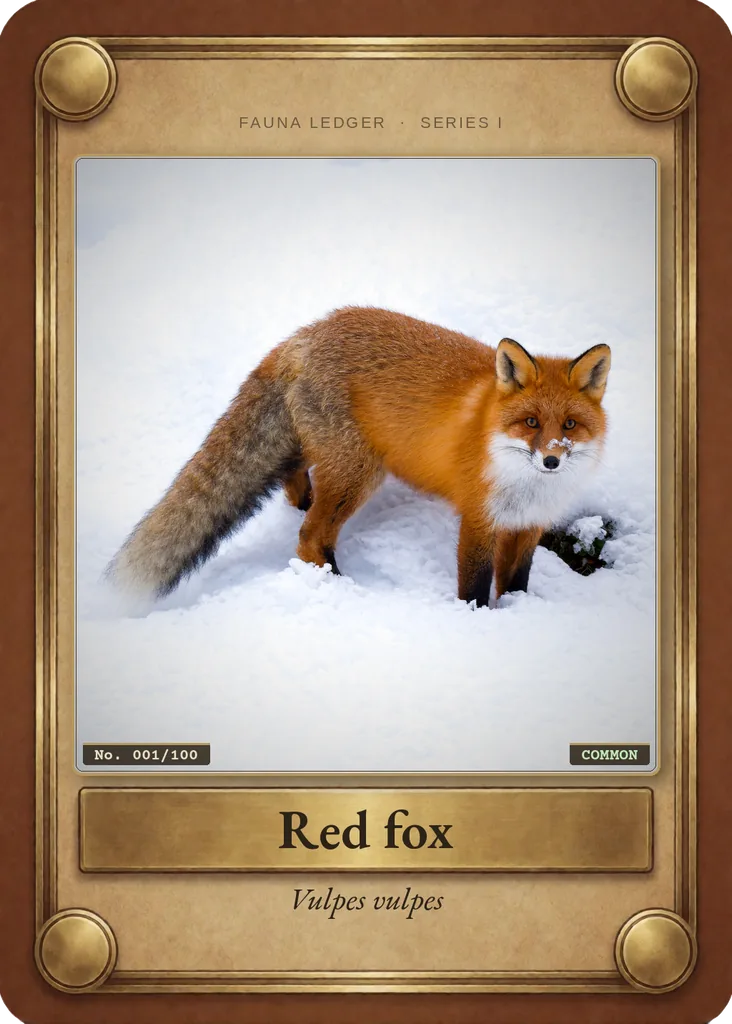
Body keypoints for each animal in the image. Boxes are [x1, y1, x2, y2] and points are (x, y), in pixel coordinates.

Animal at [107, 306, 611, 607]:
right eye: (530, 423)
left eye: (569, 425)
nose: (551, 461)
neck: (528, 488)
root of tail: (303, 334)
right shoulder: (478, 520)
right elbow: (474, 586)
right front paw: (477, 620)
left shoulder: (528, 526)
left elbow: (516, 582)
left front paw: (517, 612)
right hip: (360, 472)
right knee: (310, 536)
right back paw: (337, 587)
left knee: (295, 480)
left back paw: (303, 502)